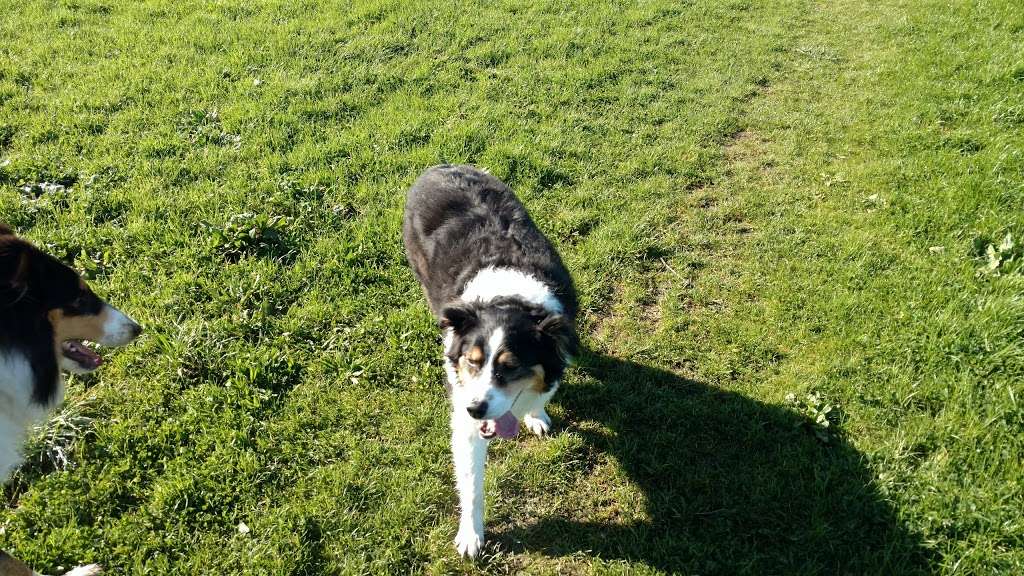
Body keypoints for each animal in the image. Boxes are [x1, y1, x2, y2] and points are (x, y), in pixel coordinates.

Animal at [403, 165, 581, 557]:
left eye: (511, 366)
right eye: (472, 362)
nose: (476, 409)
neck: (509, 298)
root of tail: (440, 165)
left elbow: (544, 393)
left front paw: (536, 415)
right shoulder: (465, 415)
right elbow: (471, 485)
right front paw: (471, 535)